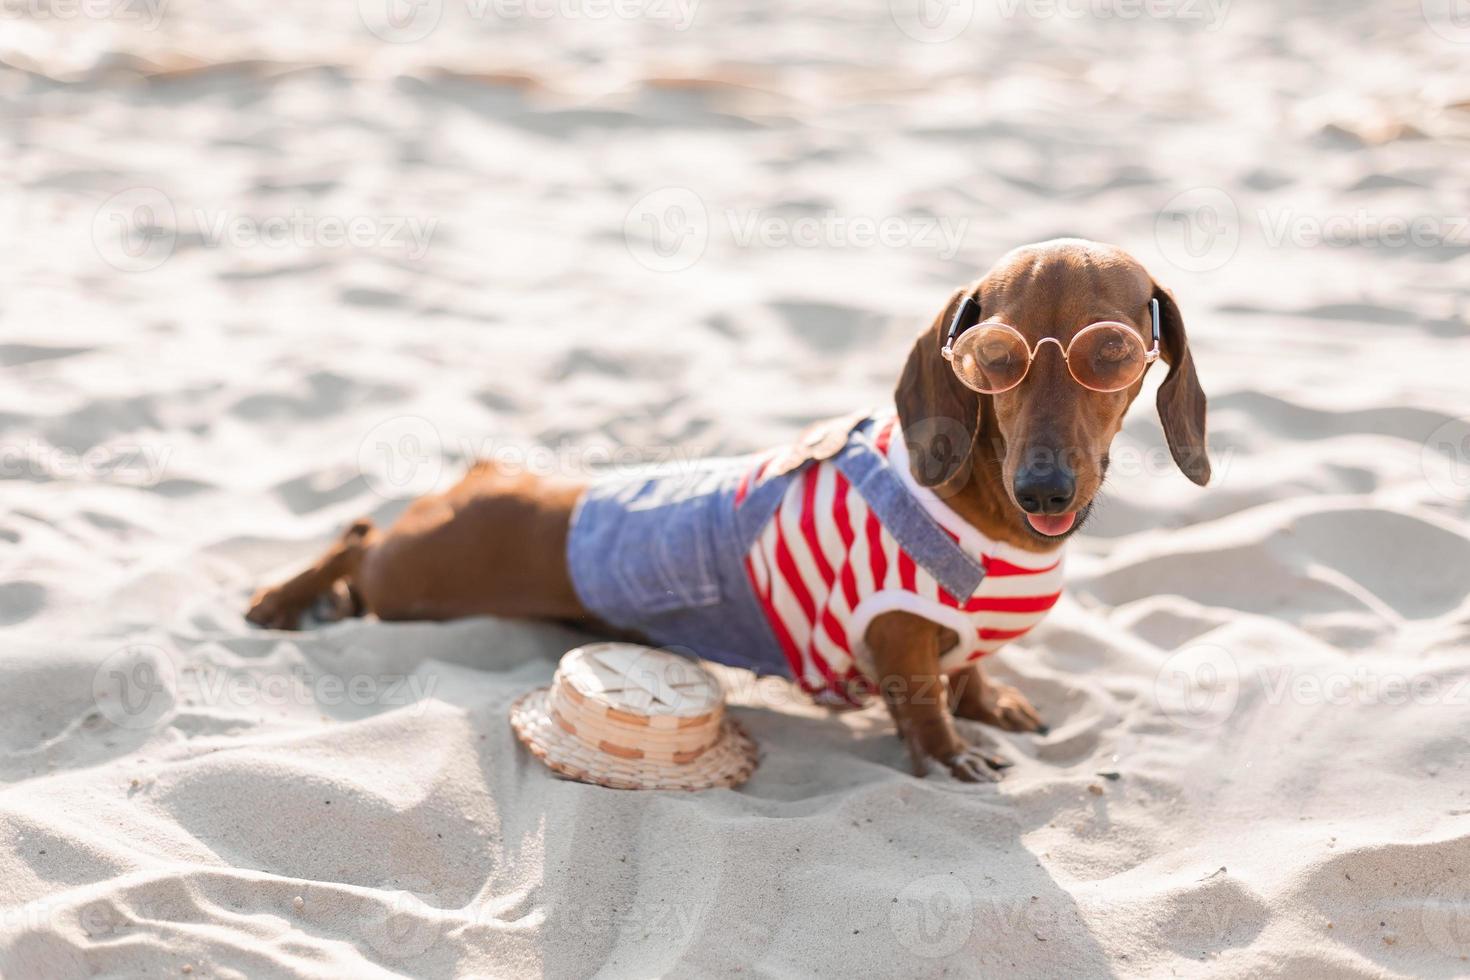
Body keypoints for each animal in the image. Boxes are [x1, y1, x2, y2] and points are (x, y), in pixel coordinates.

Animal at [249, 240, 1205, 787]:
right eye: (993, 359)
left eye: (1112, 354)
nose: (1044, 488)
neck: (988, 512)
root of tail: (483, 477)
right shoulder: (896, 631)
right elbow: (925, 699)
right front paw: (947, 751)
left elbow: (967, 668)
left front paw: (989, 700)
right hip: (411, 581)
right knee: (358, 537)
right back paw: (279, 598)